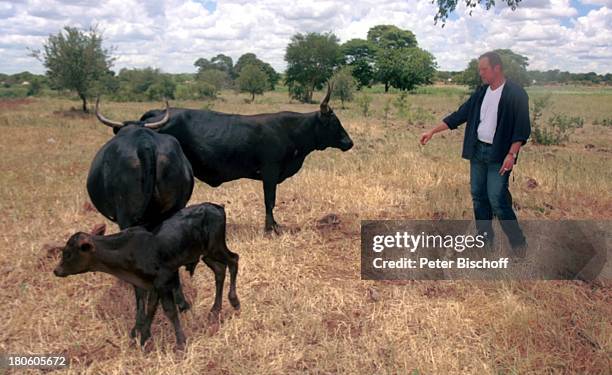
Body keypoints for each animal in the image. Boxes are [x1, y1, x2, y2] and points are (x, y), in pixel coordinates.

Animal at [54, 203, 241, 350]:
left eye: (68, 254)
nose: (56, 270)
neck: (125, 249)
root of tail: (216, 207)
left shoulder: (163, 280)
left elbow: (169, 311)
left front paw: (180, 342)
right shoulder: (147, 284)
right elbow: (147, 308)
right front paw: (143, 337)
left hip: (216, 247)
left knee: (234, 260)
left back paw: (234, 301)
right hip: (206, 254)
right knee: (219, 271)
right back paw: (215, 309)